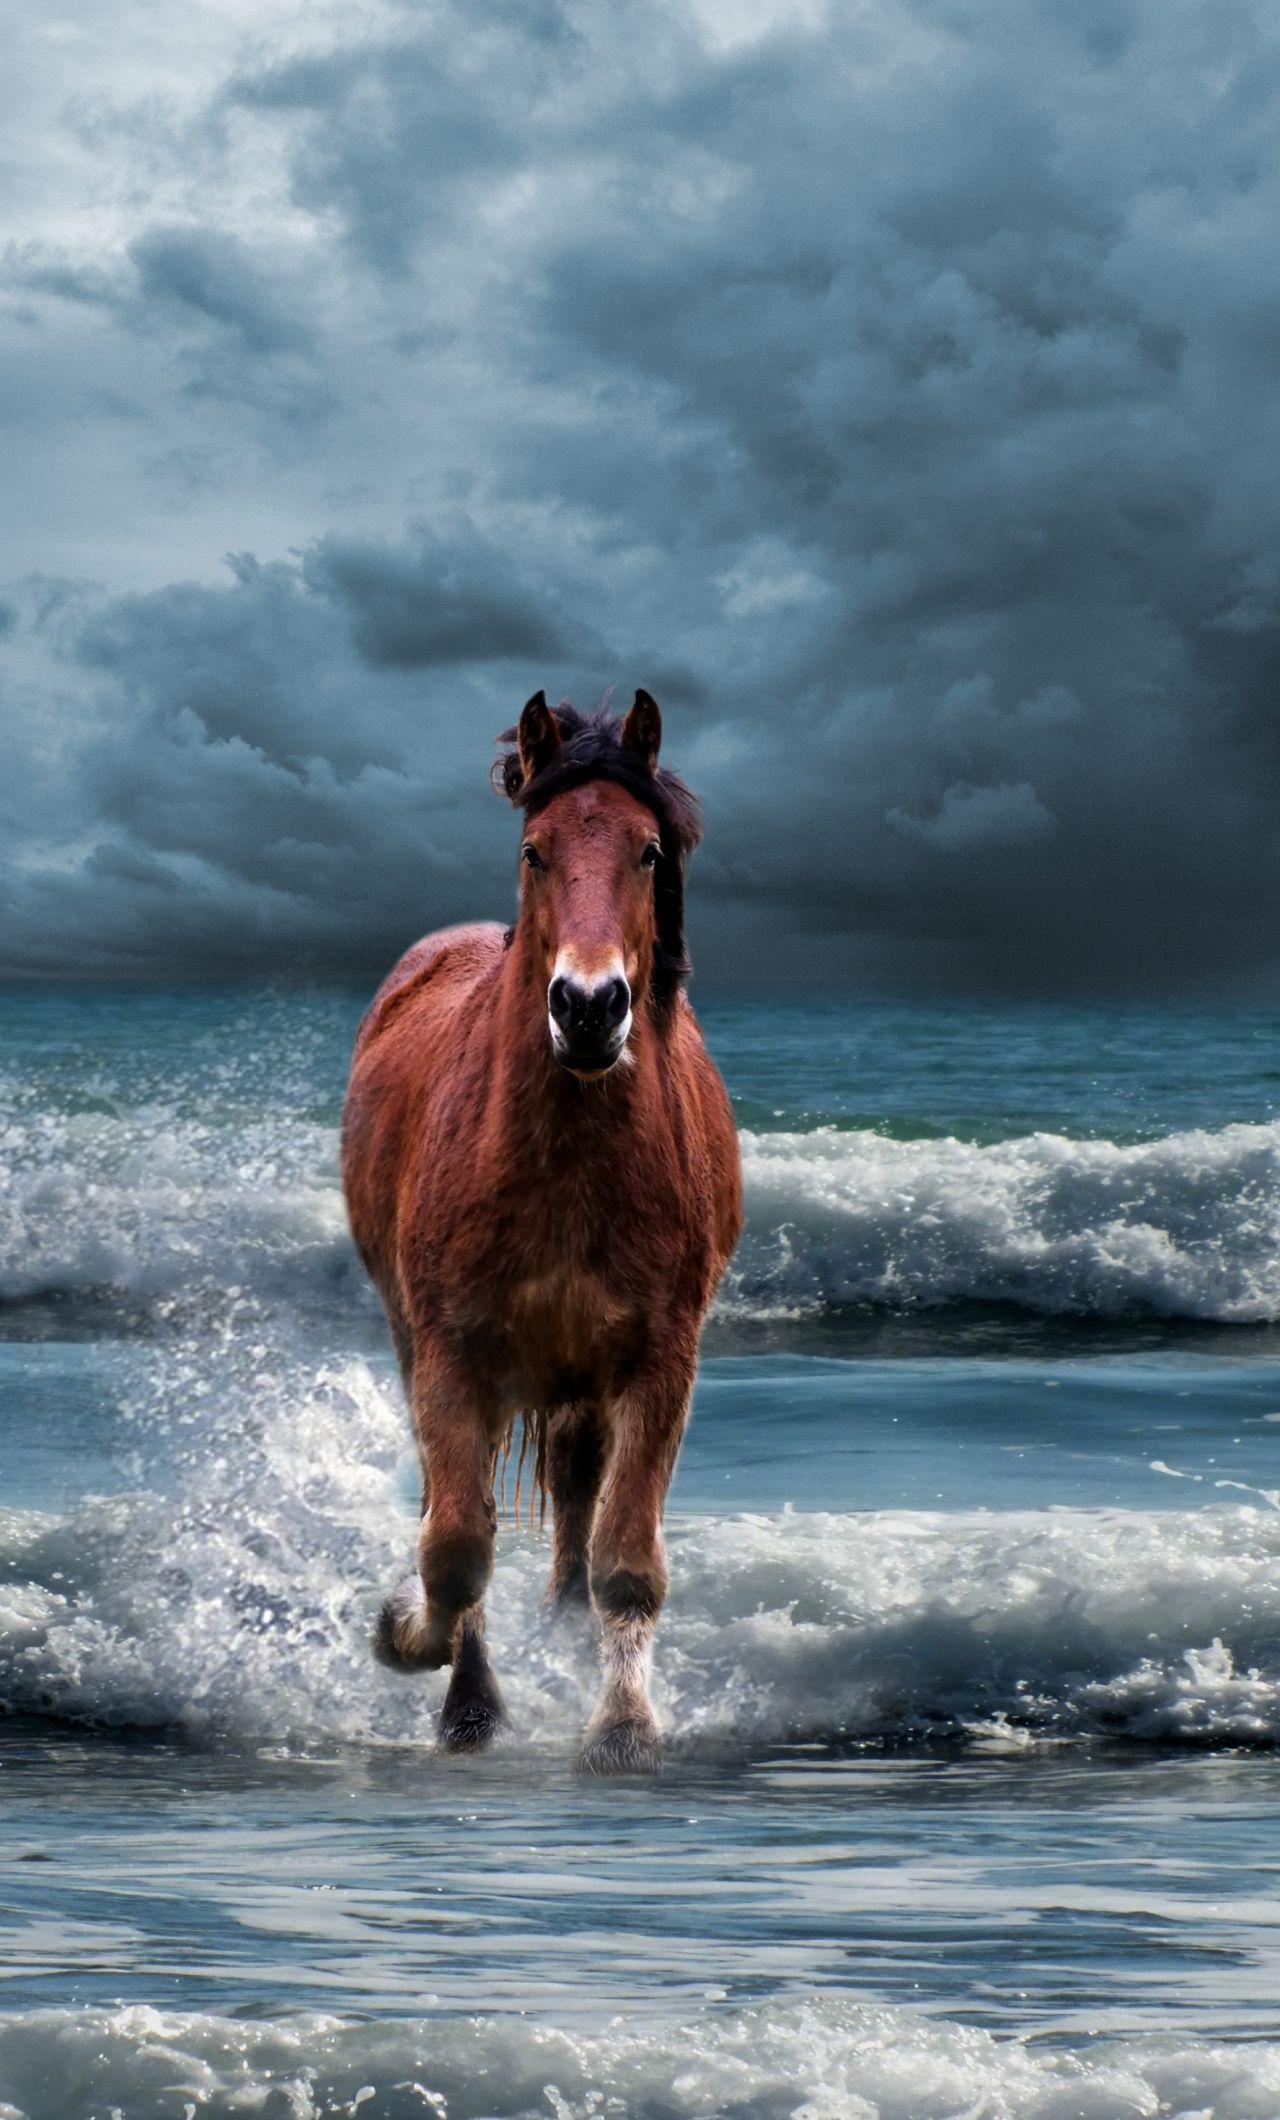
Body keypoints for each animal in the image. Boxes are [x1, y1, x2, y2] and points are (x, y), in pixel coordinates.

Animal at [341, 688, 743, 1773]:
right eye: (534, 849)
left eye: (648, 851)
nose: (589, 1006)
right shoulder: (450, 1355)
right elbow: (453, 1545)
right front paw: (422, 1656)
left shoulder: (660, 1359)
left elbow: (625, 1557)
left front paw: (623, 1726)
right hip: (419, 1339)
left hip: (580, 1378)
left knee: (574, 1495)